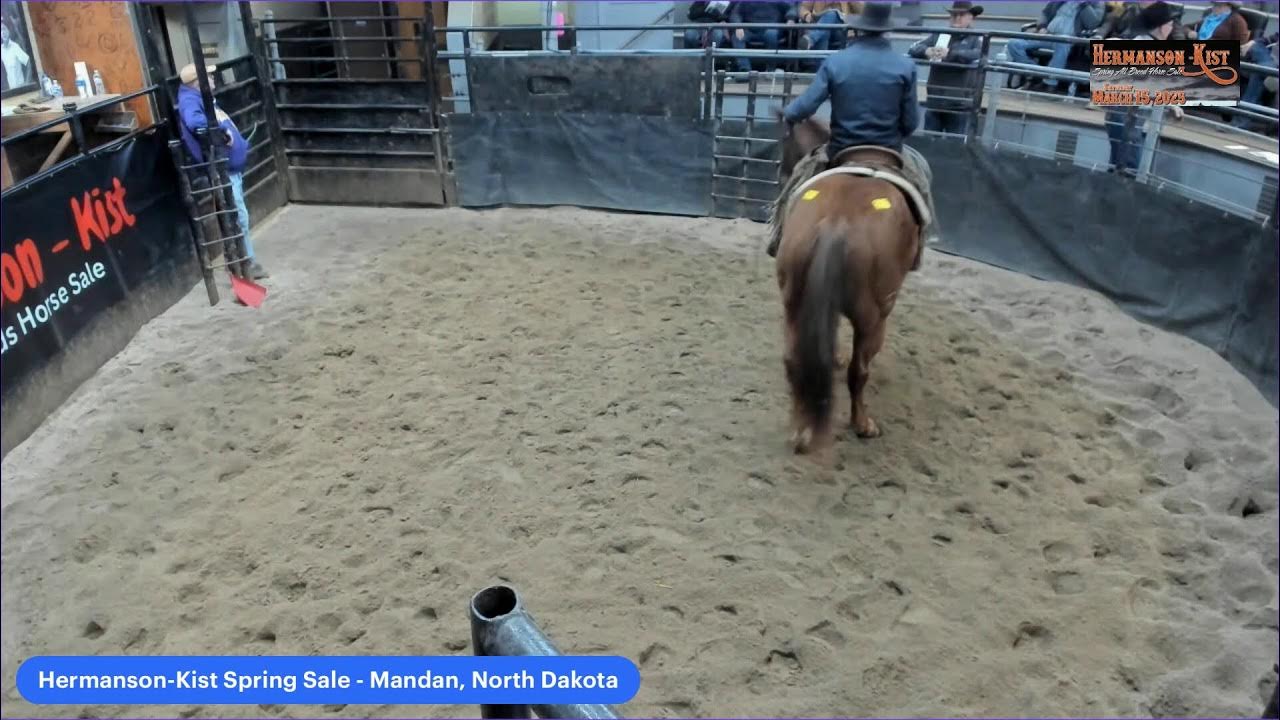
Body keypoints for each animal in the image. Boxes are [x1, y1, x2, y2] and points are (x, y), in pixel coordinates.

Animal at [772, 110, 922, 455]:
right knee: (859, 372)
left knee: (793, 359)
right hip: (874, 317)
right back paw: (863, 425)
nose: (782, 176)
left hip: (794, 303)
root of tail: (837, 222)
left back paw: (800, 430)